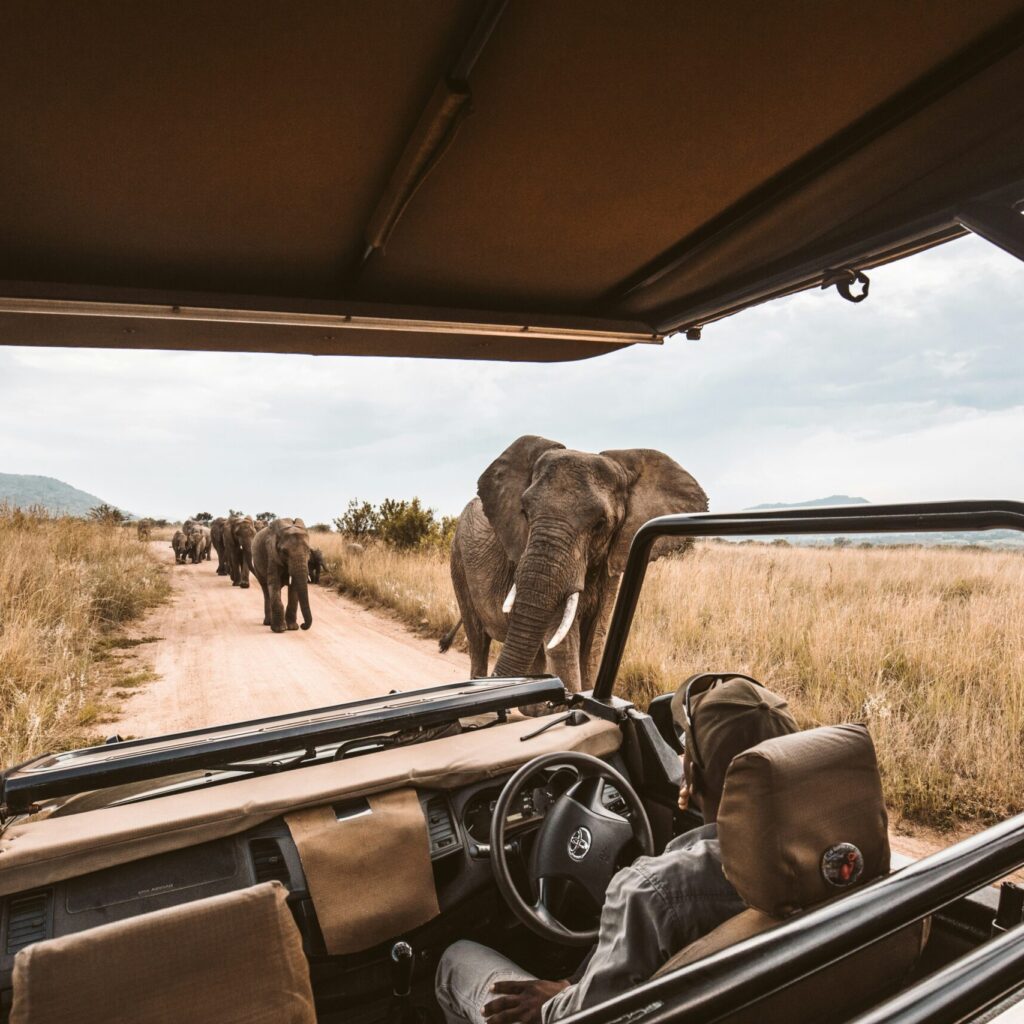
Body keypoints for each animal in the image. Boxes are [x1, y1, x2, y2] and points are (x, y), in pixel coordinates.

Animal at [448, 435, 707, 693]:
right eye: (525, 512)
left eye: (601, 523)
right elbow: (564, 646)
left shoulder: (612, 562)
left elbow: (593, 643)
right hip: (458, 561)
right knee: (478, 641)